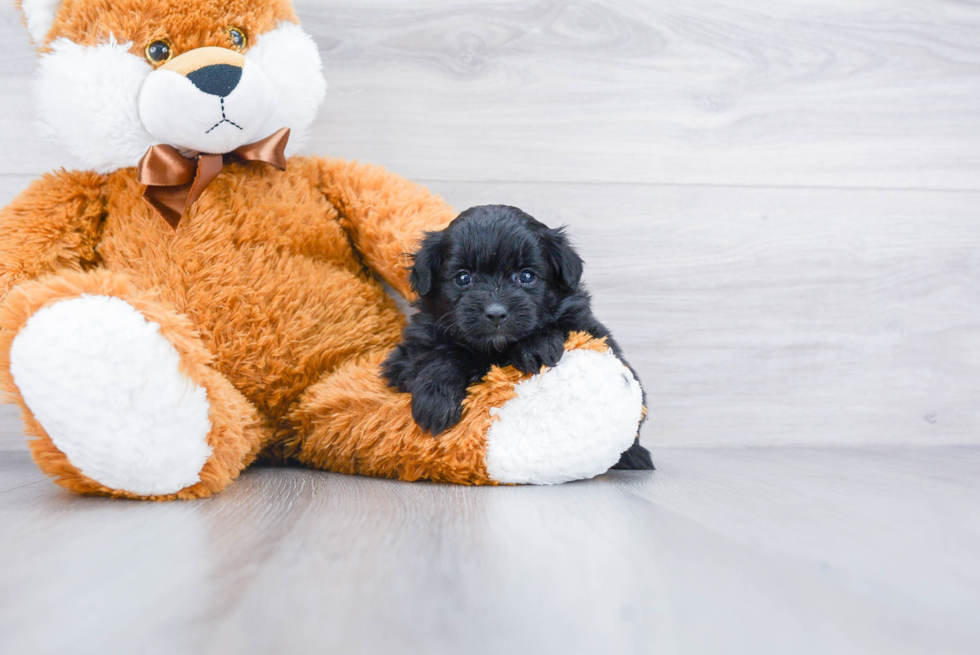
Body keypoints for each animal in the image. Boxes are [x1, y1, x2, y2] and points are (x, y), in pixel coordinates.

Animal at [380, 205, 652, 472]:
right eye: (463, 278)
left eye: (526, 276)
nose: (496, 312)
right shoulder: (405, 357)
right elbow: (443, 354)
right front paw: (436, 400)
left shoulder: (586, 327)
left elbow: (558, 327)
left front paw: (535, 347)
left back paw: (634, 457)